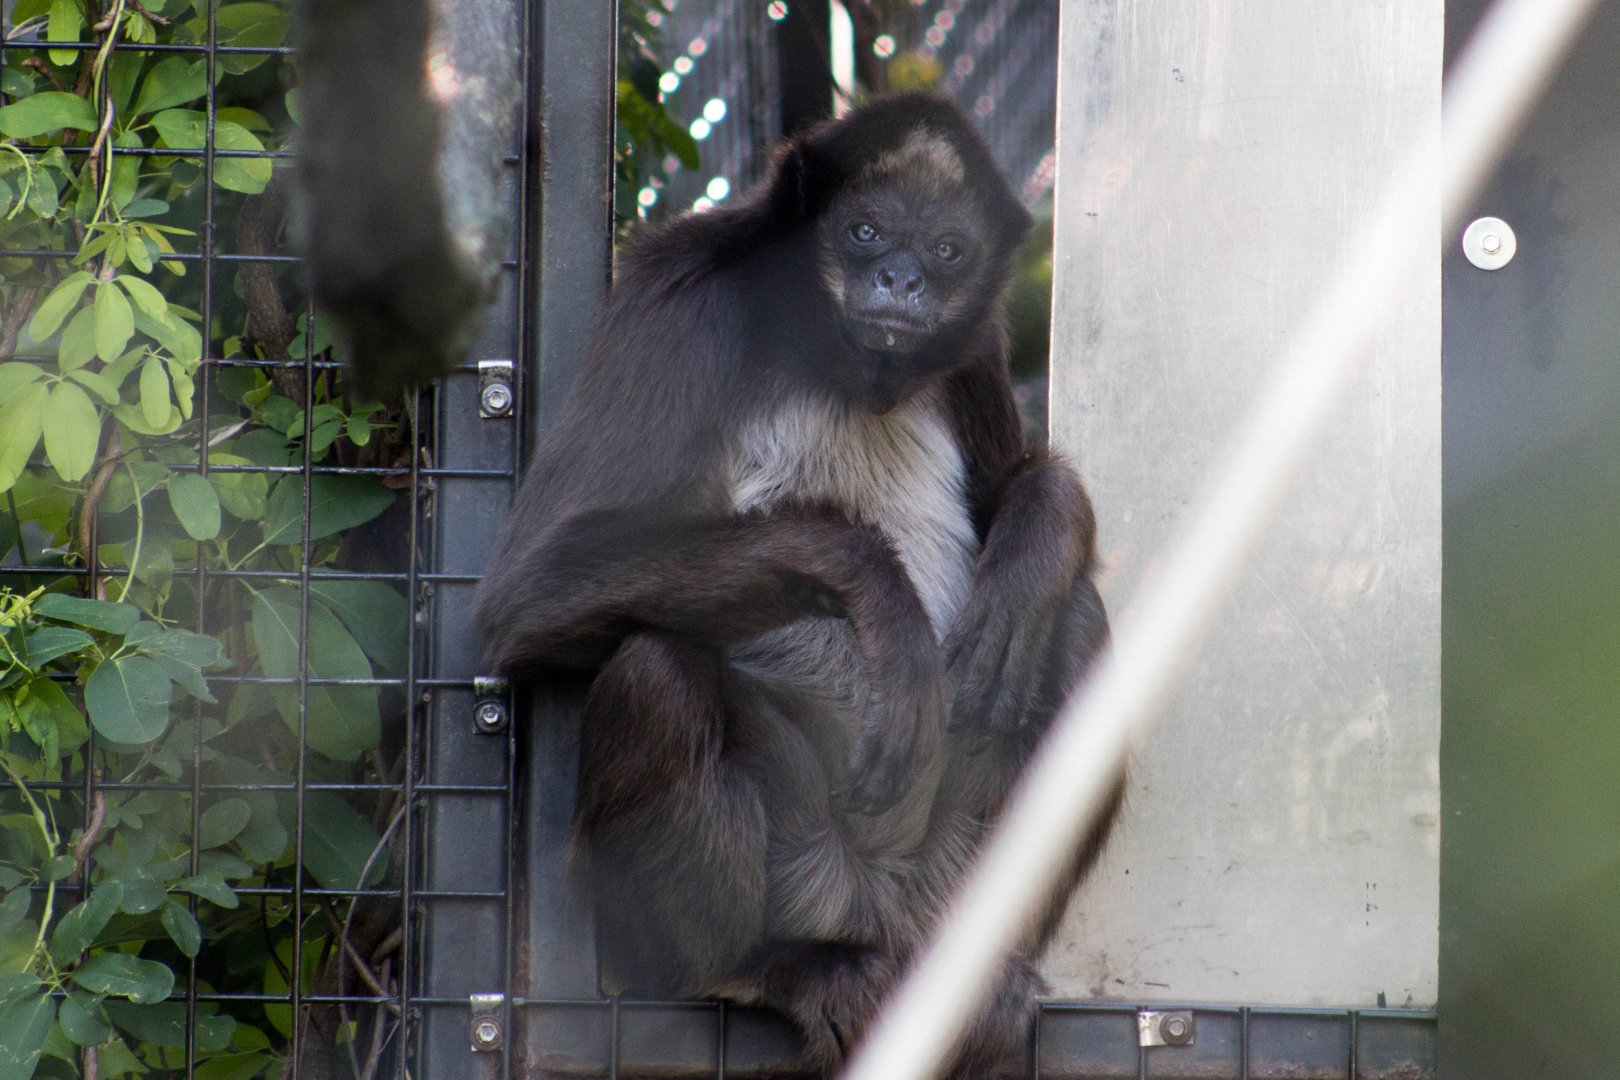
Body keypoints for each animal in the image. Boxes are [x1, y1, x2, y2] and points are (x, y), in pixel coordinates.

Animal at [475, 94, 1119, 1077]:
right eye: (864, 232)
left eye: (947, 250)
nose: (902, 280)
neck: (840, 366)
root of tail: (872, 904)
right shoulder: (677, 294)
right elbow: (530, 590)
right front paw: (879, 597)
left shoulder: (973, 343)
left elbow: (1017, 496)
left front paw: (1029, 558)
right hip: (801, 860)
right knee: (661, 672)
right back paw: (759, 968)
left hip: (945, 877)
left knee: (1075, 623)